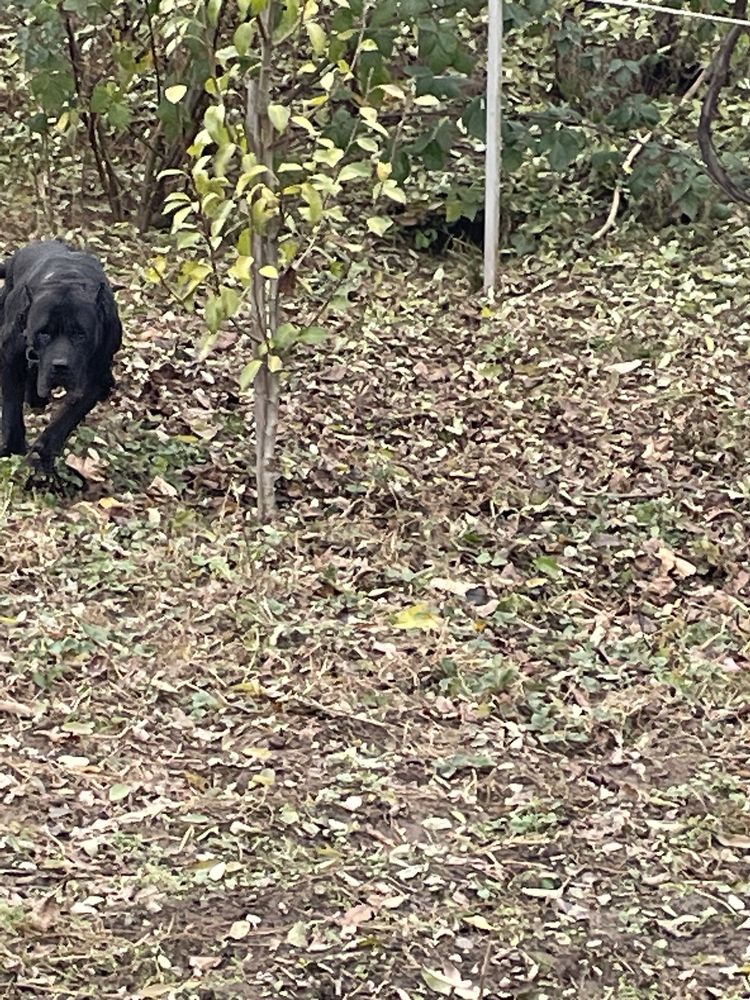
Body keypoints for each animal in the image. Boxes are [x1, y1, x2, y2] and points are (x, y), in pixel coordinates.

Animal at [0, 238, 122, 480]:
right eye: (44, 333)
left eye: (80, 334)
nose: (60, 366)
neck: (67, 279)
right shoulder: (10, 358)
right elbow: (11, 410)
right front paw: (12, 448)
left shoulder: (96, 379)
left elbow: (66, 419)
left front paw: (42, 455)